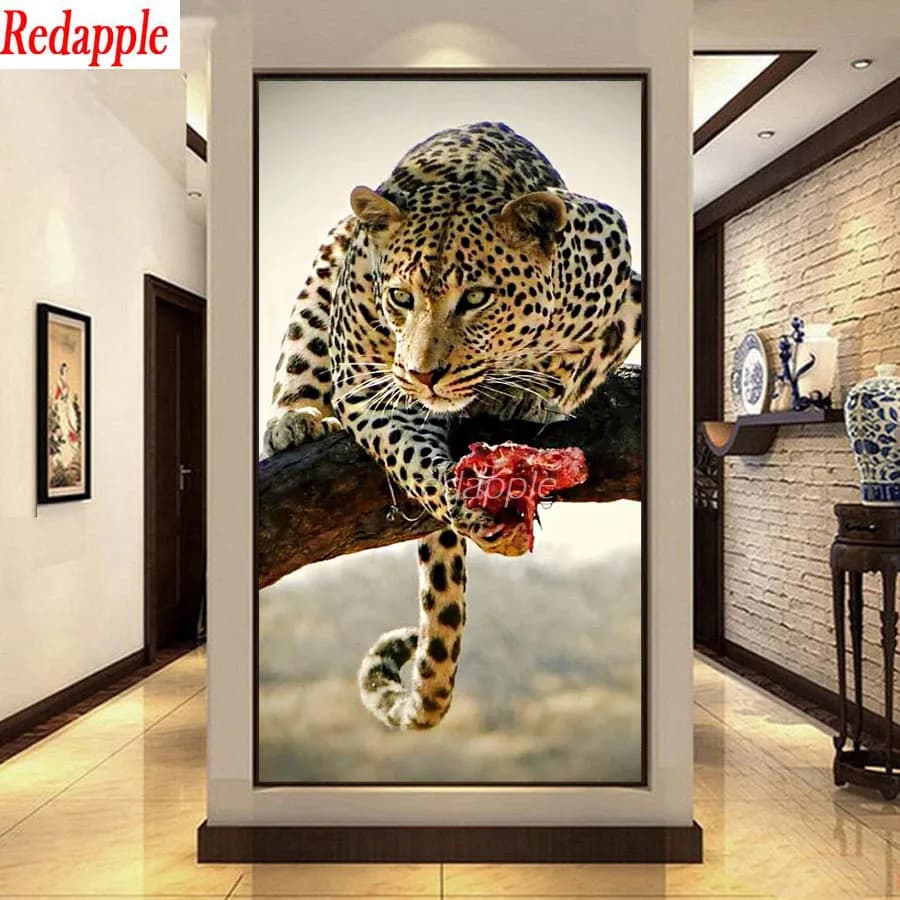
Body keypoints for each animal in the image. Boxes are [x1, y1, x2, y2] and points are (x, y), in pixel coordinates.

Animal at [263, 121, 642, 731]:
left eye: (478, 298)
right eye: (400, 297)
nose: (424, 374)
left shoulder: (624, 285)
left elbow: (582, 357)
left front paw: (529, 392)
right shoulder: (369, 391)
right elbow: (412, 457)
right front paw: (471, 508)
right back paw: (293, 418)